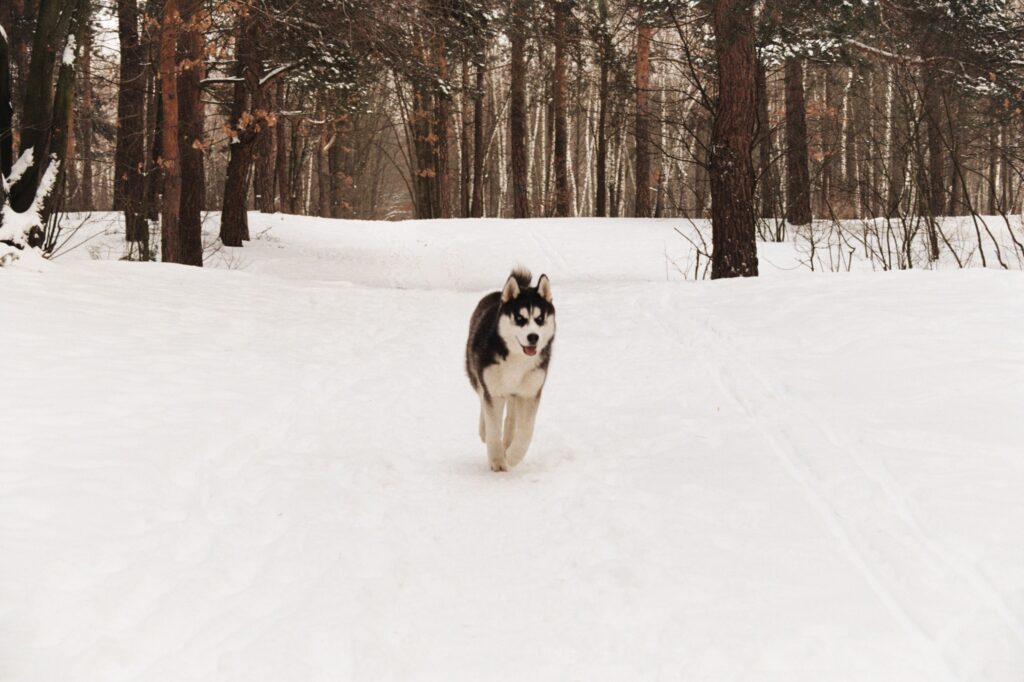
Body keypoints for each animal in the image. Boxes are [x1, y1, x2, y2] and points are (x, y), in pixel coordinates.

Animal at [466, 268, 557, 471]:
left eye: (540, 319)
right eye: (520, 318)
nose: (533, 337)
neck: (517, 359)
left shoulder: (531, 391)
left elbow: (526, 430)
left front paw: (514, 456)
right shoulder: (493, 390)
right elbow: (493, 427)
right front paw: (498, 461)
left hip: (517, 391)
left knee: (513, 412)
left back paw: (508, 439)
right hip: (476, 373)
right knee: (482, 398)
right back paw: (485, 431)